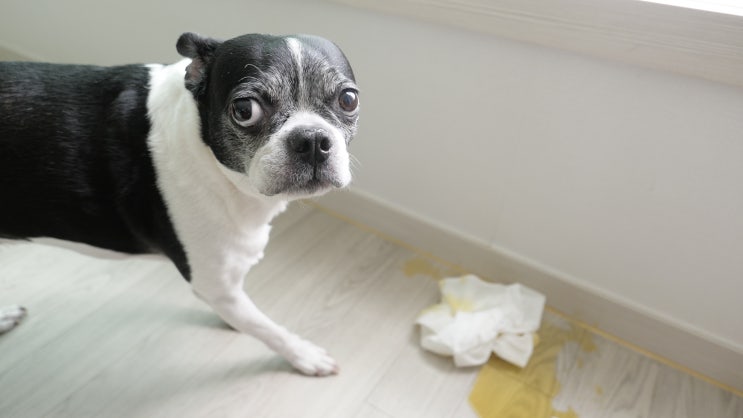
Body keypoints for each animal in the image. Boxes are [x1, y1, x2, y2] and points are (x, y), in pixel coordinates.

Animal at [0, 32, 360, 376]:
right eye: (245, 110)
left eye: (349, 99)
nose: (312, 139)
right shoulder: (214, 284)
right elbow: (264, 326)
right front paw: (303, 354)